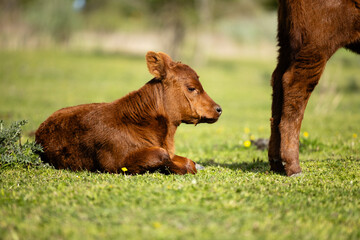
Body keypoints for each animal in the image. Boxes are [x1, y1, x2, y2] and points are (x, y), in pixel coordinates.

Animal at [268, 0, 358, 176]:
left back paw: (276, 162)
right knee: (295, 84)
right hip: (316, 44)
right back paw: (293, 166)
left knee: (278, 81)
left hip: (287, 42)